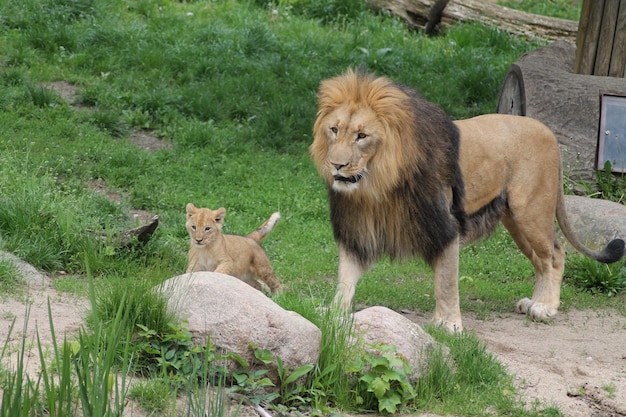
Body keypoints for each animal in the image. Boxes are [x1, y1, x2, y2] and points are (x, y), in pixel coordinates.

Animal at [310, 70, 620, 332]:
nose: (336, 165)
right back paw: (533, 302)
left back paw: (545, 307)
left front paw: (449, 324)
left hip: (531, 211)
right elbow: (345, 276)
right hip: (515, 221)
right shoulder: (357, 228)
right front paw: (334, 312)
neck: (377, 185)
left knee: (555, 254)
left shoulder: (445, 226)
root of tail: (548, 132)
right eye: (334, 130)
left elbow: (446, 282)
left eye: (362, 136)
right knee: (540, 260)